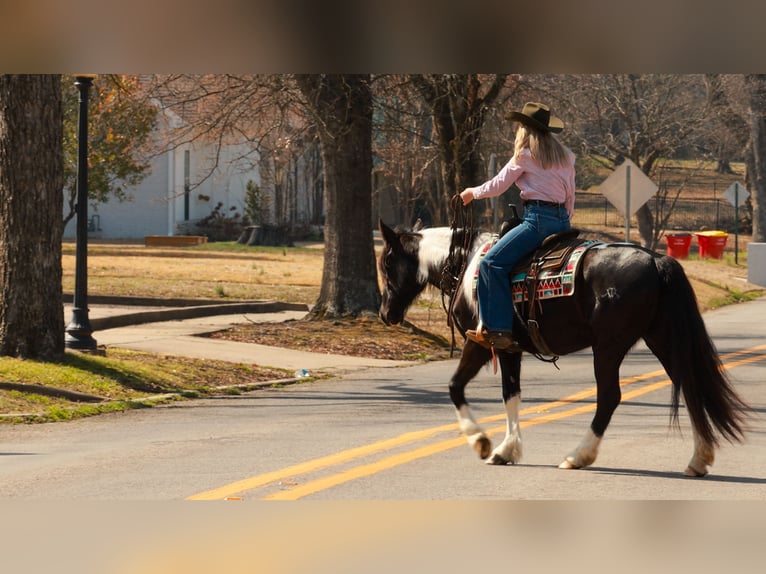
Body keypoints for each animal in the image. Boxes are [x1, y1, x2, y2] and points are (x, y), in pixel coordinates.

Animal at [377, 217, 749, 477]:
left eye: (387, 263)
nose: (385, 313)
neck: (467, 267)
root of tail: (657, 261)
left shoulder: (480, 342)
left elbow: (455, 386)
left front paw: (481, 442)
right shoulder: (509, 349)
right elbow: (511, 396)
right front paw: (506, 450)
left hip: (609, 346)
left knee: (609, 397)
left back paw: (578, 455)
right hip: (662, 338)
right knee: (690, 386)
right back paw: (699, 459)